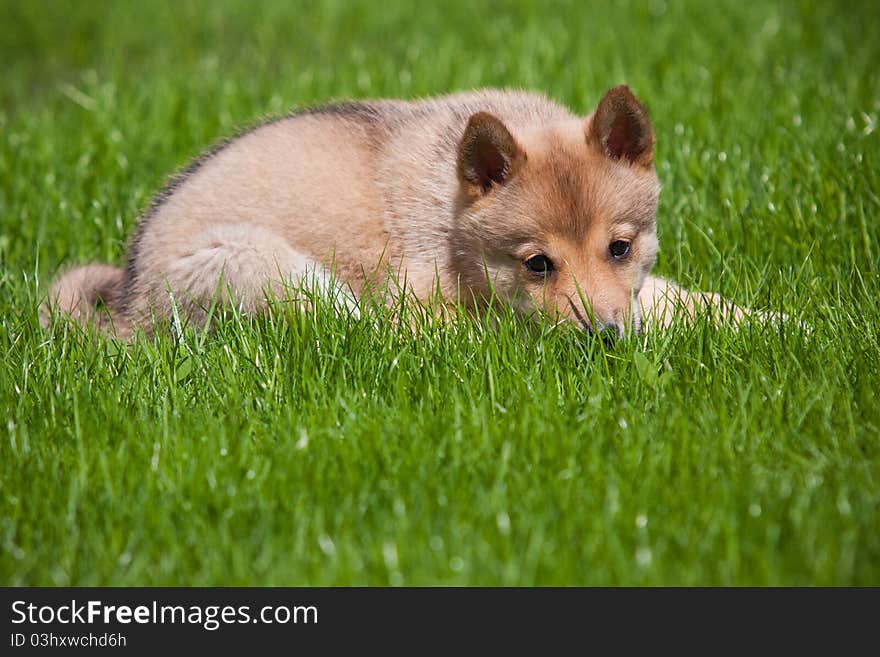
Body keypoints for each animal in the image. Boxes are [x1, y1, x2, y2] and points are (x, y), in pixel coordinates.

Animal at [44, 84, 748, 336]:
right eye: (537, 264)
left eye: (620, 248)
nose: (607, 338)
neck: (453, 222)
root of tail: (128, 310)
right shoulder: (427, 305)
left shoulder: (639, 285)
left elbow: (695, 303)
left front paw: (767, 325)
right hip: (270, 268)